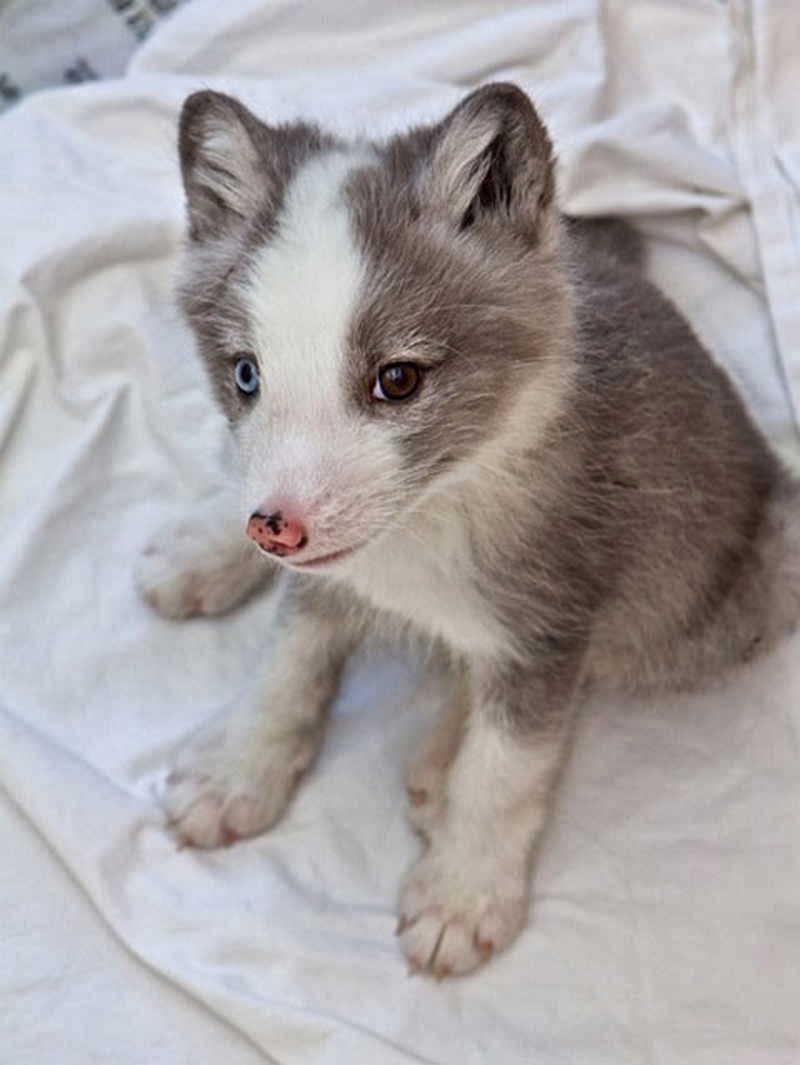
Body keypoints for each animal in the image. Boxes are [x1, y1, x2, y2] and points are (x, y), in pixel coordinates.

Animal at [136, 83, 800, 978]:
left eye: (398, 379)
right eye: (246, 374)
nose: (277, 529)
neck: (434, 514)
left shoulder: (555, 618)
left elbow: (509, 764)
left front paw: (464, 891)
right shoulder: (323, 570)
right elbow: (286, 663)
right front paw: (240, 768)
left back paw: (439, 764)